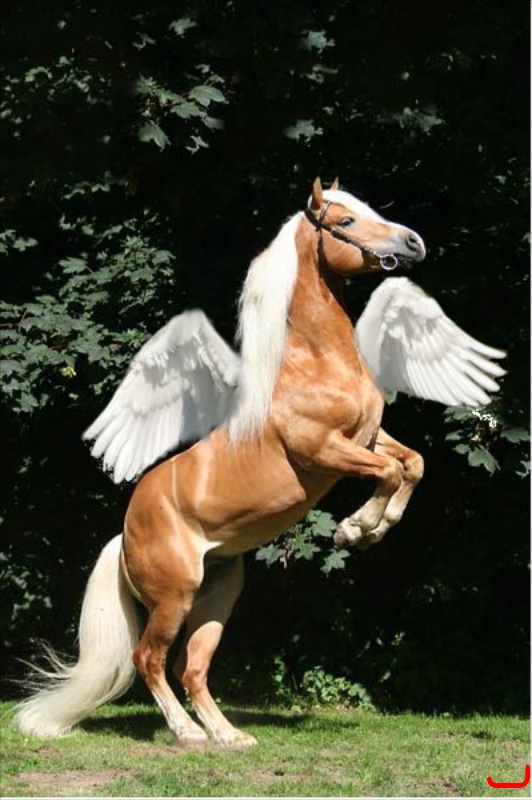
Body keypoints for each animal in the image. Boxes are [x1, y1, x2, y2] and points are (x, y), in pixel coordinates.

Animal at [15, 178, 504, 747]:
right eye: (345, 221)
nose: (413, 242)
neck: (315, 364)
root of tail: (125, 532)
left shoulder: (368, 436)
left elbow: (413, 464)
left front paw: (374, 530)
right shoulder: (323, 450)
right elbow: (388, 473)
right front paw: (353, 530)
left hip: (218, 595)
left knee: (191, 667)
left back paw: (229, 737)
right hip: (174, 598)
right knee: (150, 660)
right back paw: (188, 734)